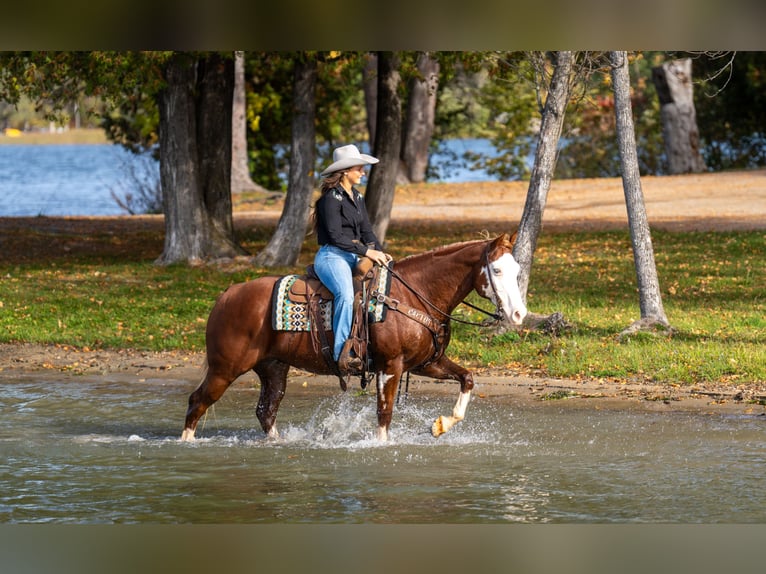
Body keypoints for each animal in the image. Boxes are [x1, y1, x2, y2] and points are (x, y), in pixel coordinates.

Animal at [181, 232, 527, 442]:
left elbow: (467, 378)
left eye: (516, 270)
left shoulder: (427, 363)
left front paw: (441, 424)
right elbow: (384, 413)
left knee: (266, 411)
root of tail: (227, 295)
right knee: (197, 402)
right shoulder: (391, 366)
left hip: (273, 368)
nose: (518, 314)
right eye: (496, 271)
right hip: (225, 368)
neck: (414, 294)